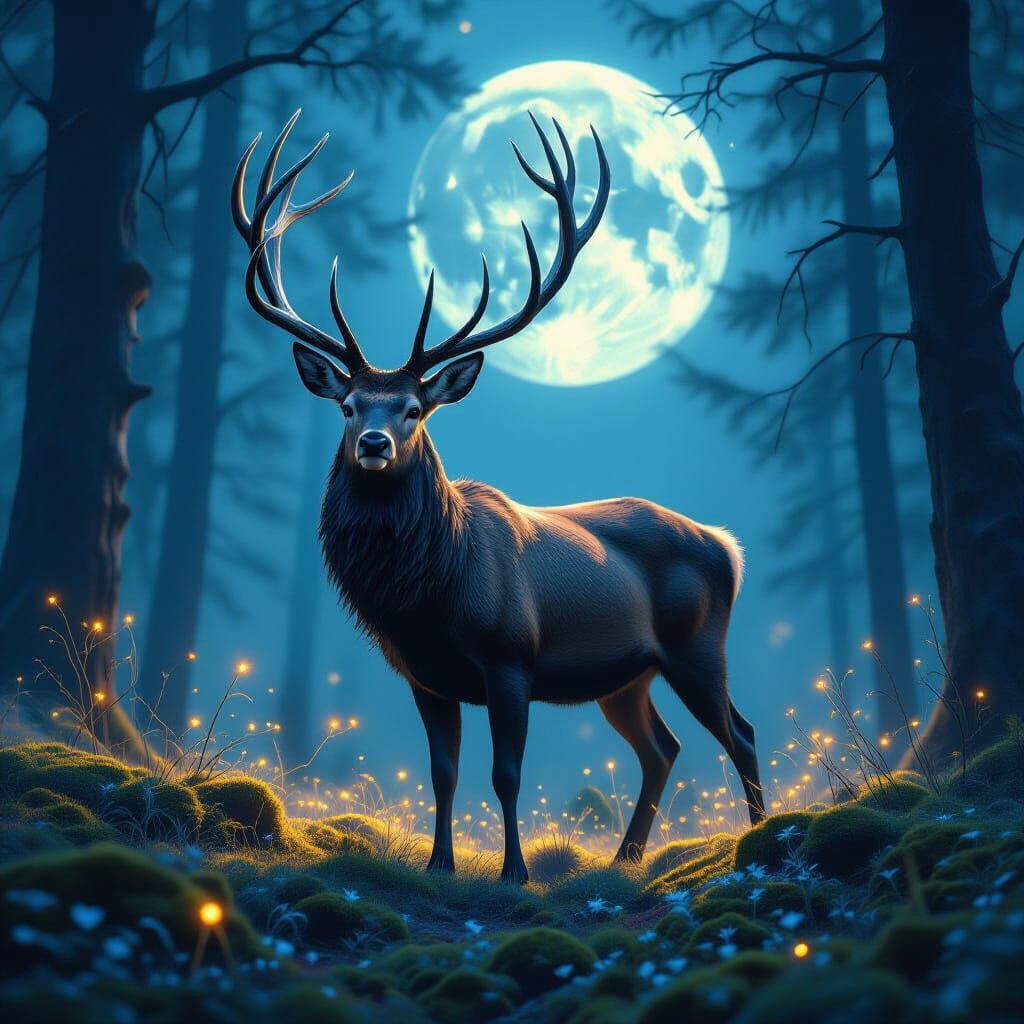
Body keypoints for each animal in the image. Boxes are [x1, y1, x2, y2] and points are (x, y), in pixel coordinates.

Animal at [232, 110, 766, 885]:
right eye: (350, 406)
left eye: (414, 410)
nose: (374, 444)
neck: (428, 595)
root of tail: (728, 546)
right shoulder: (425, 675)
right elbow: (443, 774)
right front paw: (439, 866)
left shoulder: (512, 658)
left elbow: (505, 775)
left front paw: (514, 872)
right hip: (625, 676)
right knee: (661, 748)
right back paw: (626, 857)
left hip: (697, 645)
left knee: (741, 732)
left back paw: (759, 833)